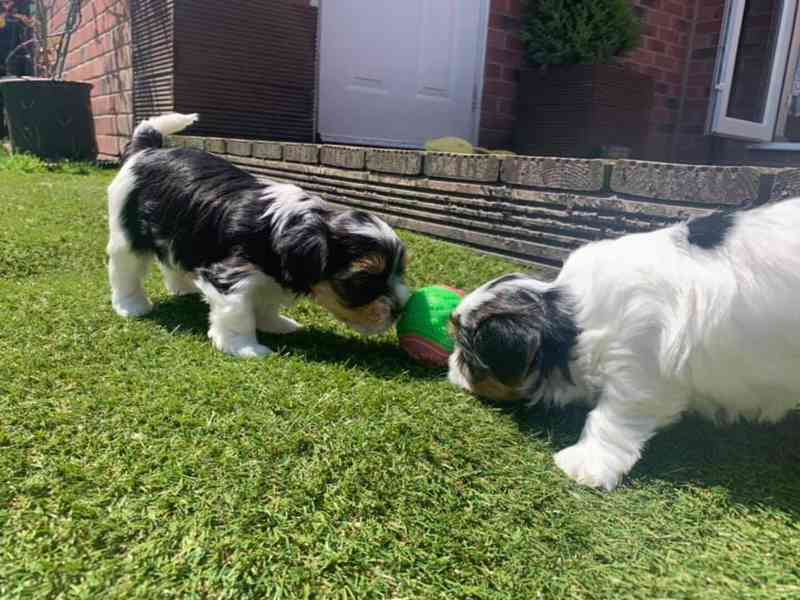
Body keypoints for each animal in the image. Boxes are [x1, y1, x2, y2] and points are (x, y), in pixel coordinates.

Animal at [106, 113, 410, 356]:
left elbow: (266, 301)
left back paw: (182, 287)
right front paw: (246, 348)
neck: (286, 226)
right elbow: (237, 311)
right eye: (362, 281)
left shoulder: (271, 277)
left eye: (399, 272)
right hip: (127, 231)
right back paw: (131, 305)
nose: (400, 309)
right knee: (125, 270)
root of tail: (147, 149)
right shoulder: (231, 274)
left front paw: (276, 324)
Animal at [446, 199, 800, 490]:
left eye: (468, 357)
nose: (449, 365)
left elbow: (610, 416)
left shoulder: (639, 369)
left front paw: (584, 463)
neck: (572, 320)